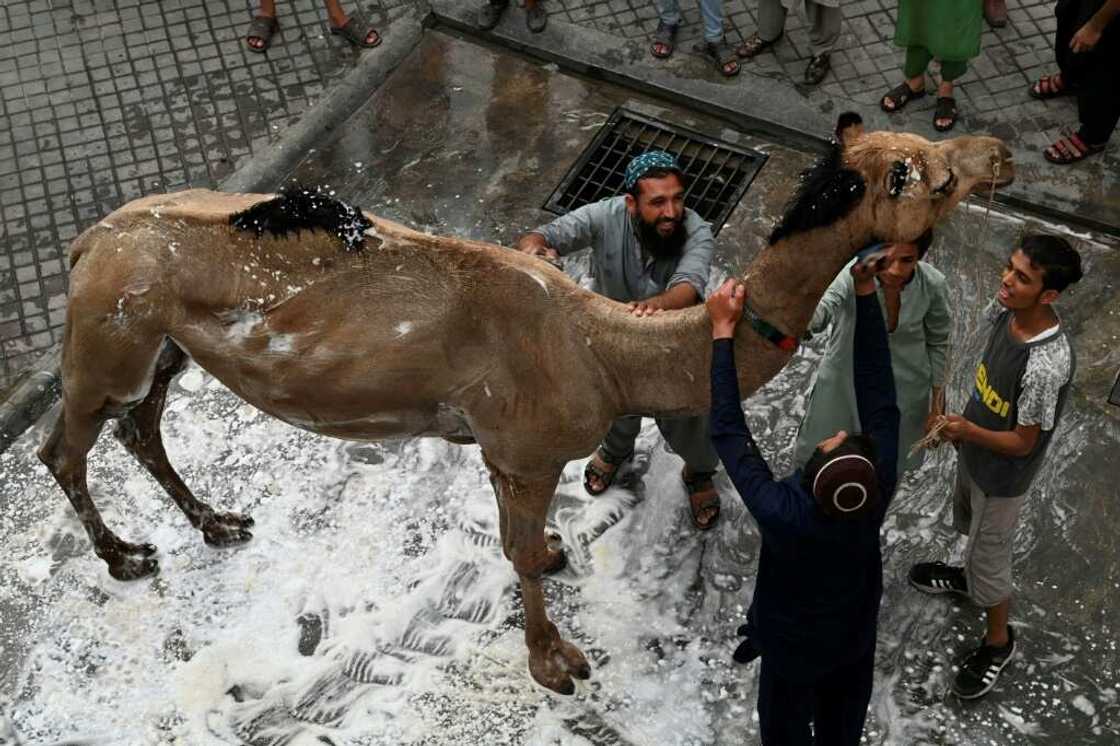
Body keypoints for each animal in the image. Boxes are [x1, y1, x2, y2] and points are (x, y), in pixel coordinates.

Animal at [38, 115, 1012, 694]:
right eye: (928, 175)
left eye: (926, 148)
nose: (998, 153)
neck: (606, 349)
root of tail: (83, 241)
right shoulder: (521, 449)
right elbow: (510, 556)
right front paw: (555, 661)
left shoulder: (511, 453)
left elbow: (526, 547)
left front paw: (552, 551)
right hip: (108, 329)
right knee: (67, 445)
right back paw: (126, 557)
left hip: (162, 341)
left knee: (142, 423)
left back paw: (218, 524)